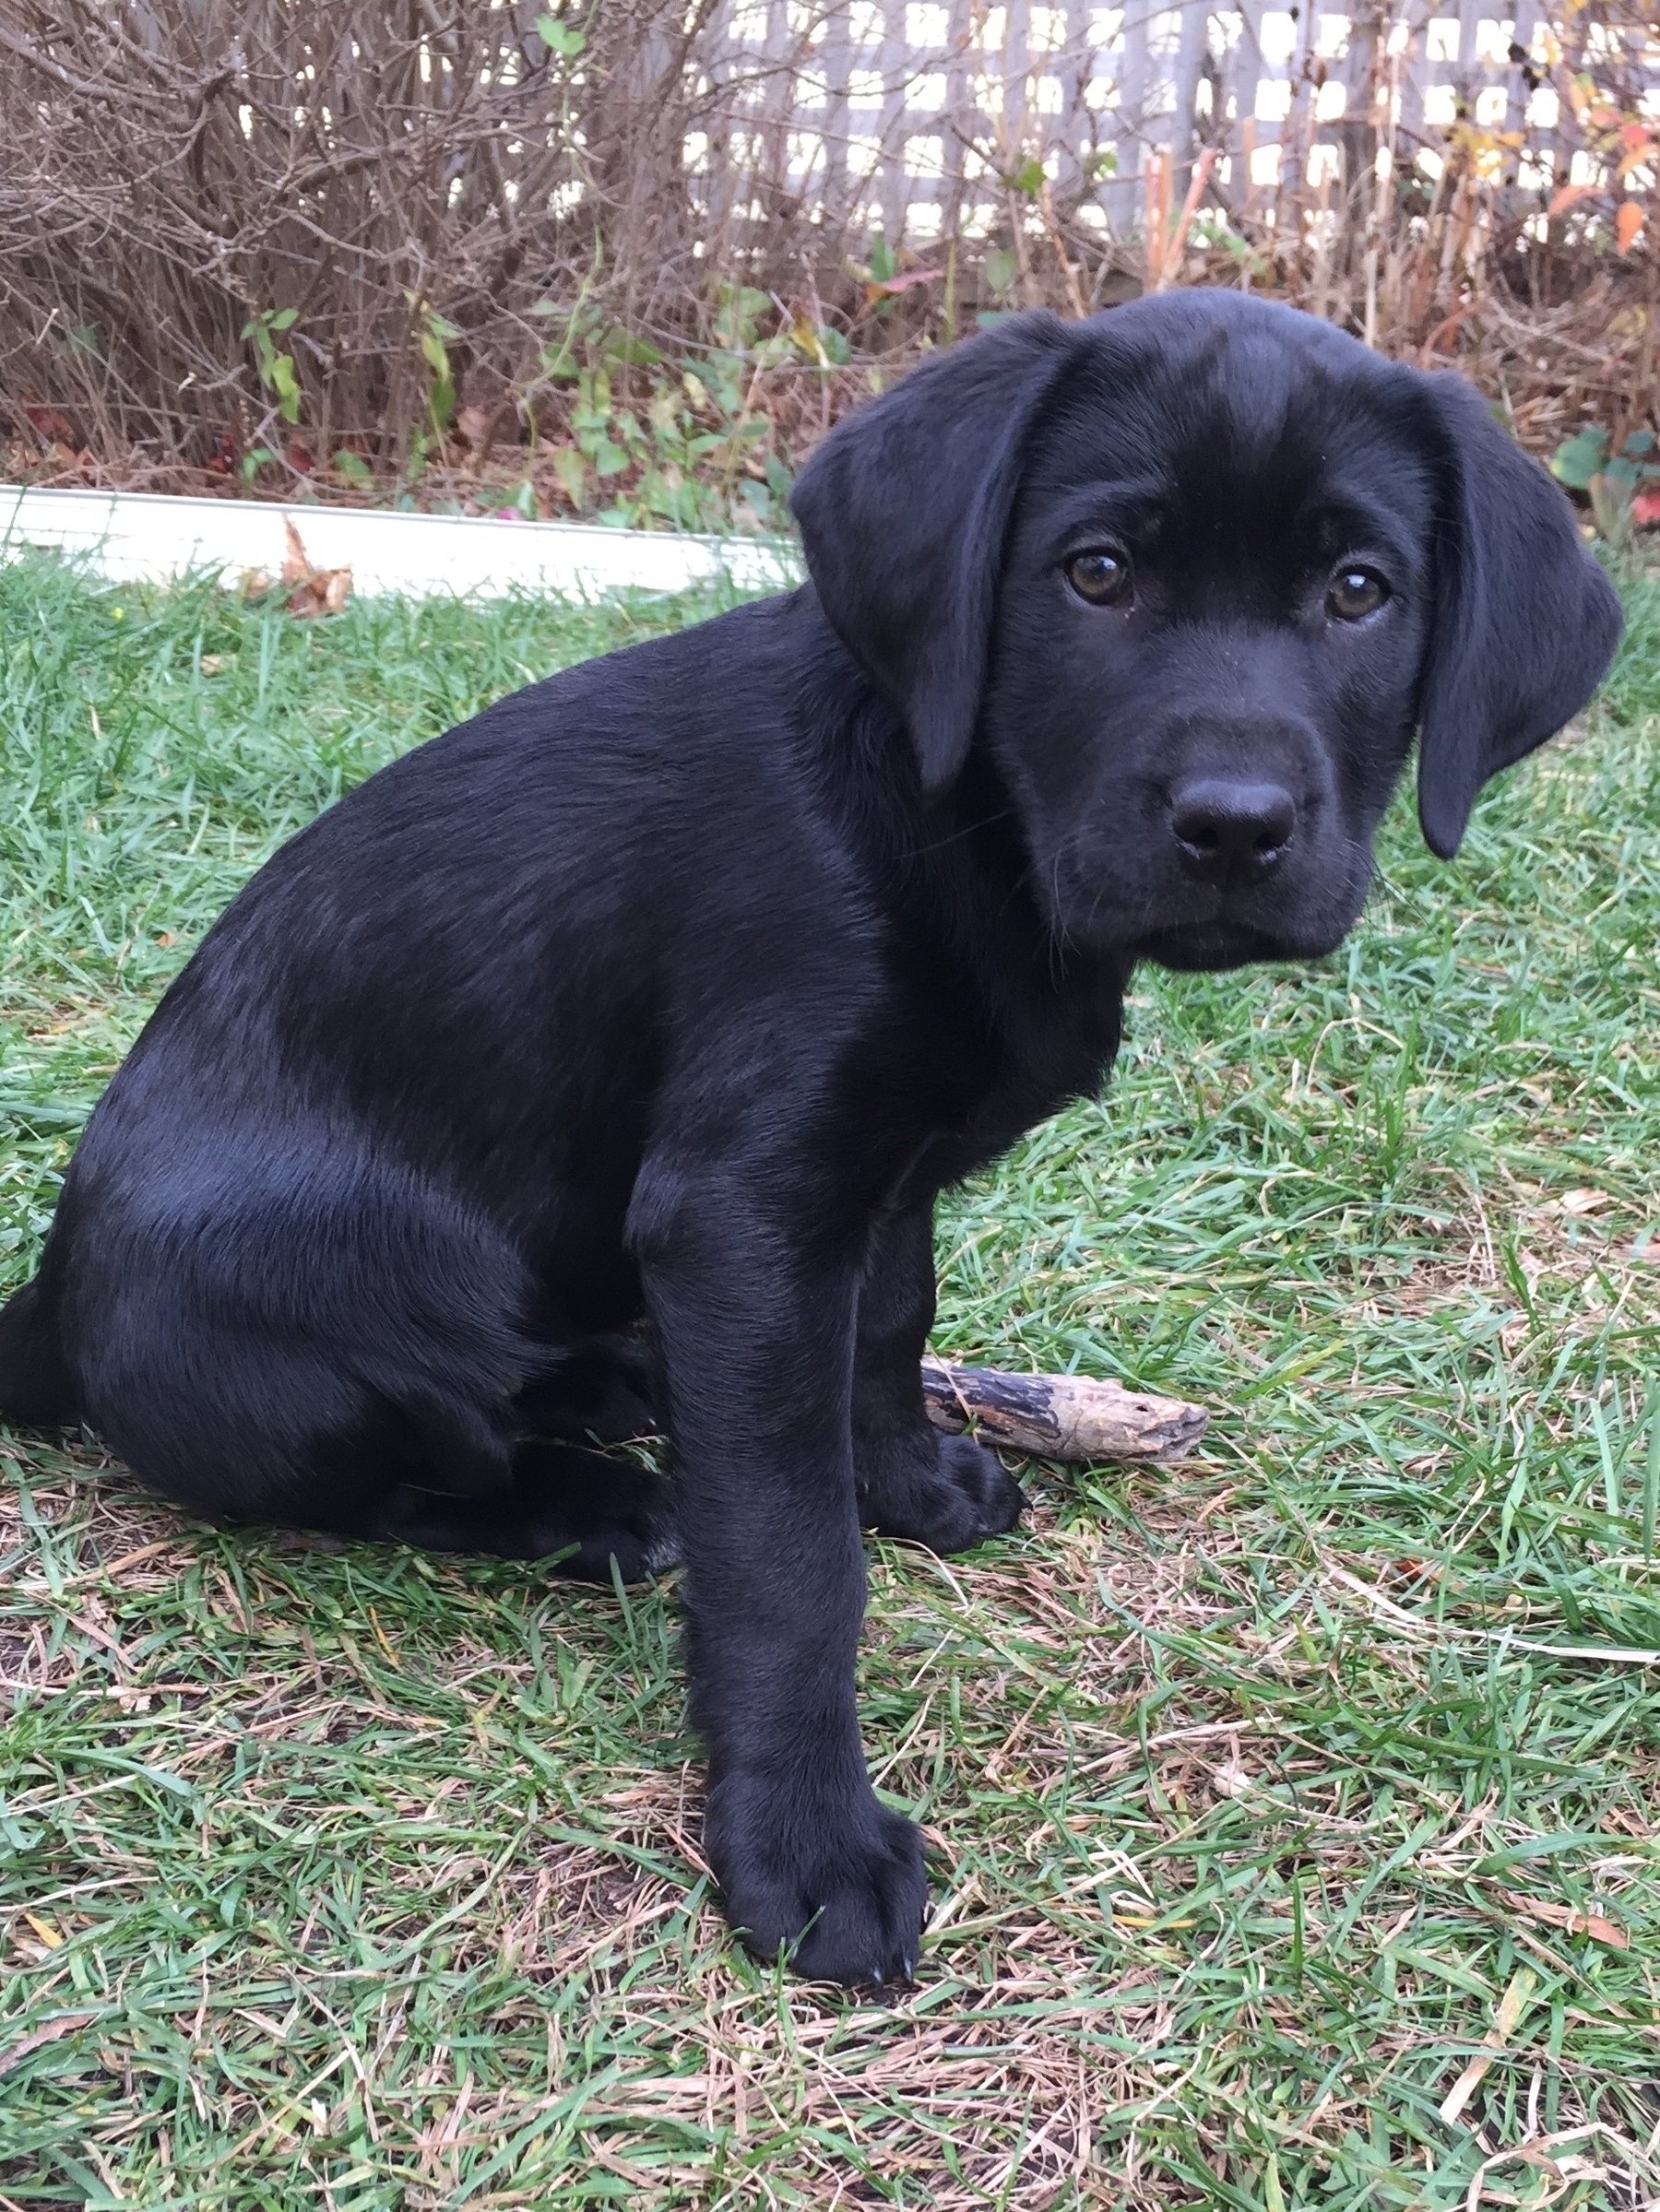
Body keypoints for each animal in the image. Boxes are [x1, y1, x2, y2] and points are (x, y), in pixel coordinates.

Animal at [0, 290, 1629, 1991]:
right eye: (1096, 571)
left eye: (1359, 589)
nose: (1234, 825)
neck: (949, 818)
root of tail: (47, 1297)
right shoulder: (742, 1213)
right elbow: (785, 1554)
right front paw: (806, 1834)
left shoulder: (875, 1179)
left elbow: (888, 1327)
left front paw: (907, 1481)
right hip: (330, 1295)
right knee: (396, 1475)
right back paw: (594, 1502)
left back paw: (612, 1387)